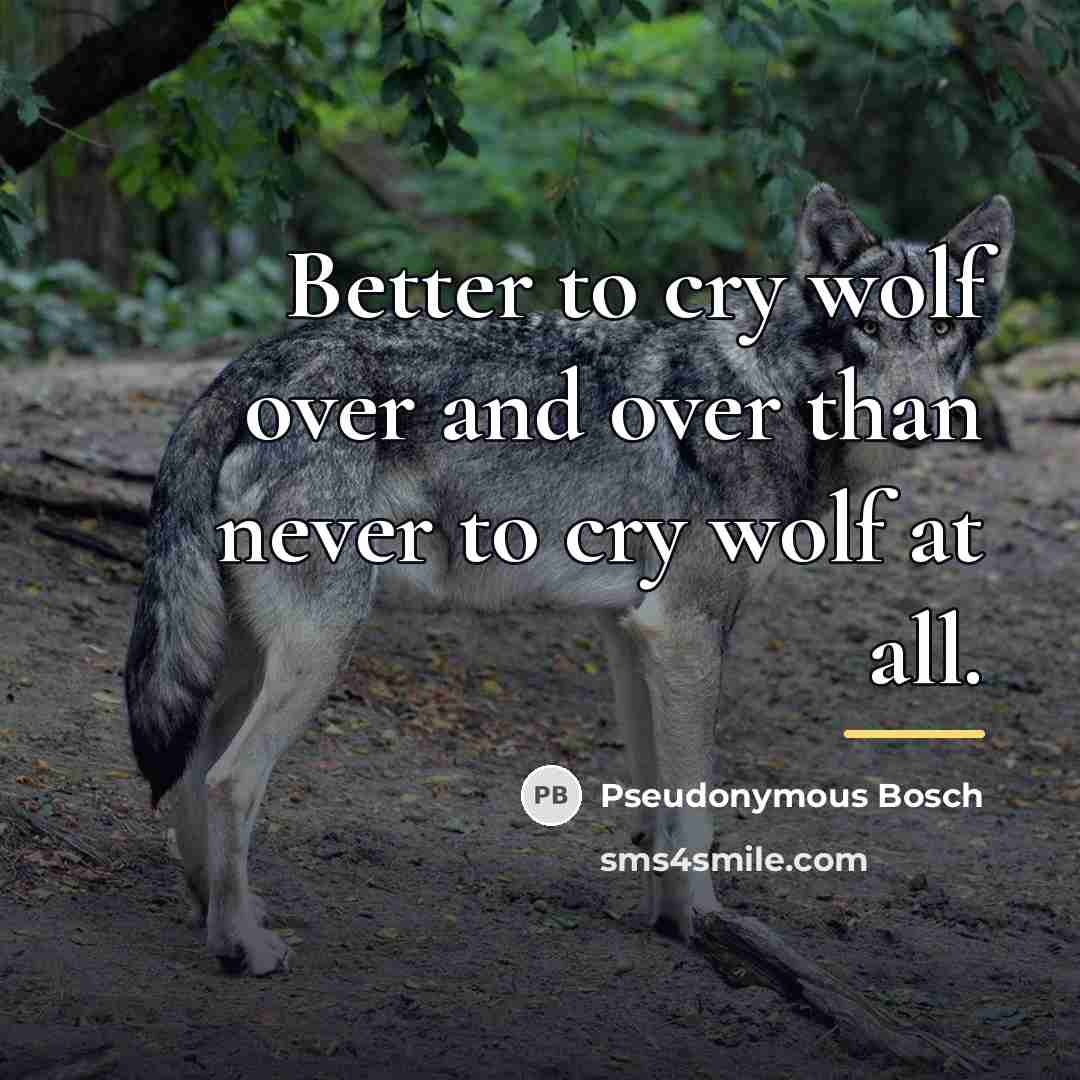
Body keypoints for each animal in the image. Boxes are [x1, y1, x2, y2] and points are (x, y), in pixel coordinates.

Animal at [125, 184, 1013, 975]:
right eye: (868, 326)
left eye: (940, 327)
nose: (919, 415)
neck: (775, 392)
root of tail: (241, 371)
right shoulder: (686, 634)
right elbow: (696, 805)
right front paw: (703, 921)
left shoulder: (632, 636)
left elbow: (658, 803)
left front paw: (666, 920)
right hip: (320, 646)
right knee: (231, 781)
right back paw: (243, 947)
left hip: (250, 654)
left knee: (196, 768)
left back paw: (216, 913)